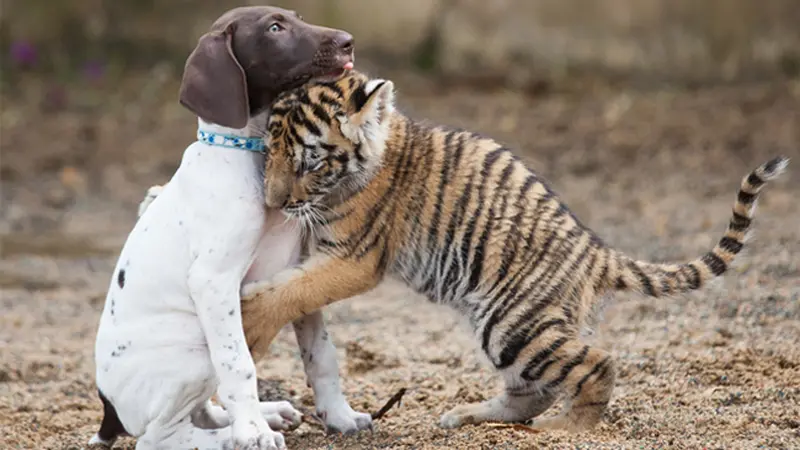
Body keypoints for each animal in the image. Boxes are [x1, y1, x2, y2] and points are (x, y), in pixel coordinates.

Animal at [89, 7, 370, 450]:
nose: (348, 41)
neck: (250, 154)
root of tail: (109, 410)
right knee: (161, 437)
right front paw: (252, 433)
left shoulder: (300, 272)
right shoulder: (214, 281)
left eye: (296, 17)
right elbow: (238, 365)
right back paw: (238, 434)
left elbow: (321, 354)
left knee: (201, 411)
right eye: (275, 28)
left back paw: (266, 415)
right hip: (194, 352)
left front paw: (339, 415)